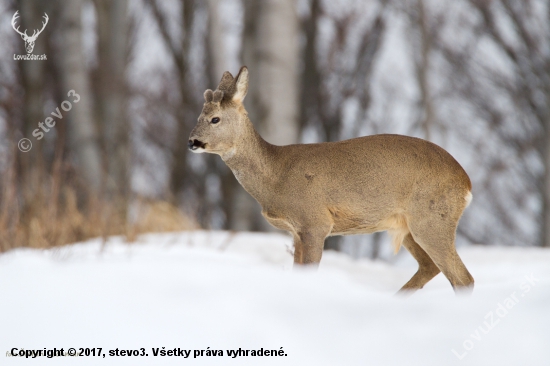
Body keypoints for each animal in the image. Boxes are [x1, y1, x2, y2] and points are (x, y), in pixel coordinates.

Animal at [189, 66, 474, 294]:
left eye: (215, 119)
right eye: (198, 116)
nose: (192, 141)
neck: (275, 176)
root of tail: (467, 182)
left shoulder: (315, 221)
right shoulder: (297, 231)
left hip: (432, 218)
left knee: (463, 278)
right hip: (406, 225)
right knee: (431, 267)